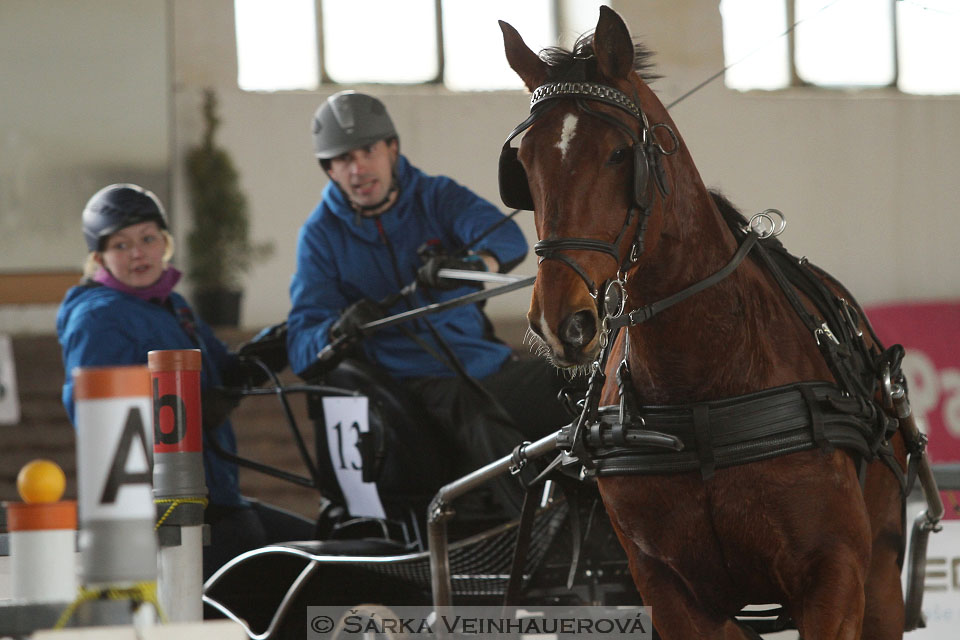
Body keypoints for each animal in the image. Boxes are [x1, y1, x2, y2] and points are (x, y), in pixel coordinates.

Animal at [498, 6, 912, 640]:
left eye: (619, 154)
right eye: (523, 163)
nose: (559, 321)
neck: (703, 385)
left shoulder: (835, 575)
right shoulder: (671, 591)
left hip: (883, 583)